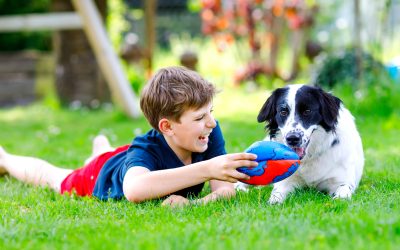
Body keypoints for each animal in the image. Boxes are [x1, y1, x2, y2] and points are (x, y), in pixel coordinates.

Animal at [236, 85, 364, 204]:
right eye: (283, 112)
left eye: (307, 111)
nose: (292, 138)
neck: (310, 157)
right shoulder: (286, 181)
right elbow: (277, 194)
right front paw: (273, 202)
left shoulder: (342, 181)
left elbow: (342, 194)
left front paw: (337, 200)